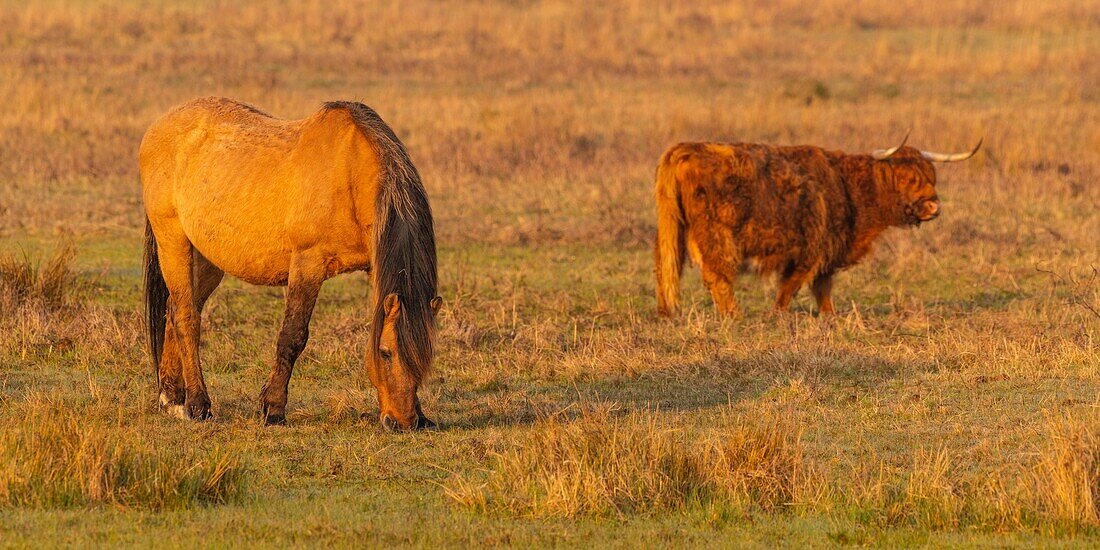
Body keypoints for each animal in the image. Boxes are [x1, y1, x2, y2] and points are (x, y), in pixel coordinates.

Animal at [141, 97, 442, 429]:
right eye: (385, 352)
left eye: (426, 357)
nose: (403, 422)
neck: (350, 175)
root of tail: (161, 125)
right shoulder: (308, 264)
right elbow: (292, 337)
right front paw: (273, 409)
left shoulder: (376, 266)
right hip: (173, 242)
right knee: (186, 317)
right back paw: (197, 404)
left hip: (207, 259)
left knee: (174, 311)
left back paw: (172, 398)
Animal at [651, 132, 981, 319]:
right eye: (906, 178)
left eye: (932, 175)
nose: (934, 206)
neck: (848, 185)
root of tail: (684, 150)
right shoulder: (813, 248)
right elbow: (793, 286)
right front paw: (778, 316)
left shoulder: (827, 253)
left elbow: (822, 287)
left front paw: (829, 316)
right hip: (717, 234)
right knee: (717, 275)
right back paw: (734, 316)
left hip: (671, 227)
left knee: (665, 265)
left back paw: (667, 313)